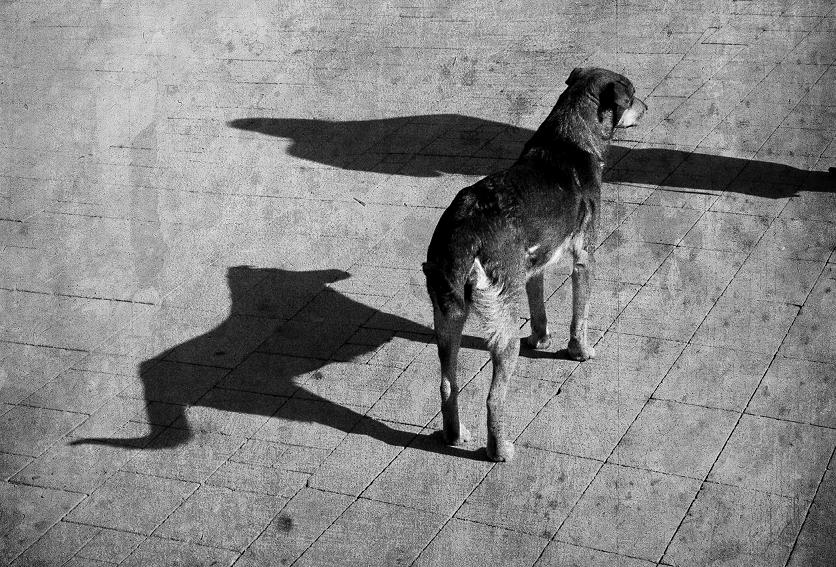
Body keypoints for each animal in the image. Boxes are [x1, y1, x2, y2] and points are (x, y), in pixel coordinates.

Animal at [423, 67, 646, 462]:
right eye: (632, 96)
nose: (648, 108)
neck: (569, 136)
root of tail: (464, 235)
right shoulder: (584, 256)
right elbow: (579, 316)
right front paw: (580, 352)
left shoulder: (533, 268)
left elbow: (539, 307)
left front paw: (541, 340)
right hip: (501, 329)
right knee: (493, 398)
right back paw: (499, 449)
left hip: (447, 319)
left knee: (447, 385)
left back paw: (453, 435)